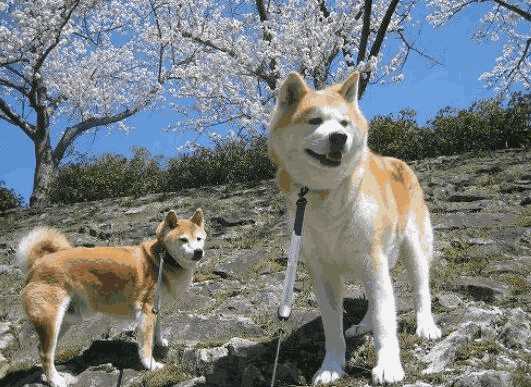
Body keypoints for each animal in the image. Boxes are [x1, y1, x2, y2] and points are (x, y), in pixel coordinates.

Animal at [16, 209, 208, 387]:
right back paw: (56, 380)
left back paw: (50, 375)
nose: (199, 252)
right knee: (45, 353)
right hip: (51, 320)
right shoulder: (146, 311)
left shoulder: (156, 307)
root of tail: (37, 264)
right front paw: (151, 365)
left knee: (42, 349)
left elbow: (157, 329)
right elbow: (146, 345)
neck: (161, 258)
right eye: (183, 240)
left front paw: (160, 342)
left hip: (66, 319)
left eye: (199, 238)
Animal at [268, 72, 442, 384]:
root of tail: (395, 160)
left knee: (420, 290)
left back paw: (426, 326)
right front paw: (331, 367)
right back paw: (363, 325)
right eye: (315, 120)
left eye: (344, 123)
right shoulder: (324, 272)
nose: (339, 137)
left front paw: (388, 365)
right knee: (376, 300)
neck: (325, 193)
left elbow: (386, 319)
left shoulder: (372, 259)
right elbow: (333, 329)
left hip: (412, 248)